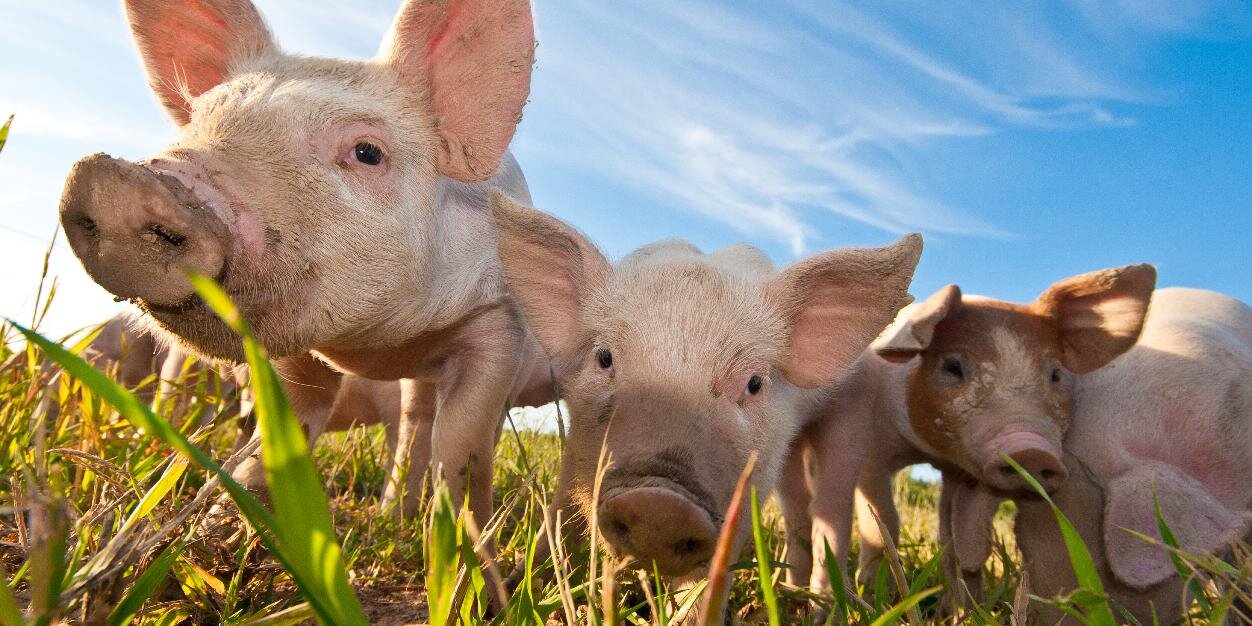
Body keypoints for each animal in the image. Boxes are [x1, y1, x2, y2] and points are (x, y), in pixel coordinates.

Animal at [56, 0, 542, 535]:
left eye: (367, 152)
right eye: (197, 123)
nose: (117, 182)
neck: (376, 345)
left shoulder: (500, 323)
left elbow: (462, 445)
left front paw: (469, 544)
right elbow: (289, 420)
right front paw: (232, 520)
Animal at [490, 191, 922, 579]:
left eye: (754, 383)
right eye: (605, 357)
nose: (660, 504)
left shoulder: (748, 490)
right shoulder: (576, 444)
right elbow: (560, 513)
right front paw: (519, 583)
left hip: (853, 418)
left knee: (833, 511)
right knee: (799, 509)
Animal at [777, 264, 1158, 605]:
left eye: (1055, 374)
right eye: (953, 366)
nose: (1031, 451)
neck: (923, 449)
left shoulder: (957, 469)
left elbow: (952, 539)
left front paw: (961, 608)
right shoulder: (873, 453)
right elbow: (883, 522)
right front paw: (876, 595)